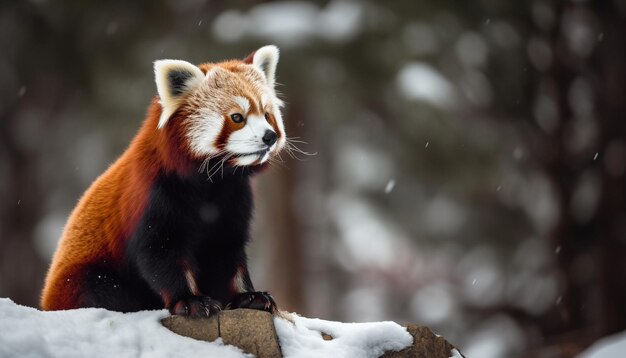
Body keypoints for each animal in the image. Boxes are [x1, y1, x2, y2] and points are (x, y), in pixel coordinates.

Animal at [42, 46, 286, 318]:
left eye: (267, 115)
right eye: (237, 117)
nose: (270, 136)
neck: (213, 182)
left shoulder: (234, 198)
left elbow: (227, 253)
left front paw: (248, 296)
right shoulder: (154, 193)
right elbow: (160, 252)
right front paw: (190, 301)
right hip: (81, 278)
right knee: (100, 289)